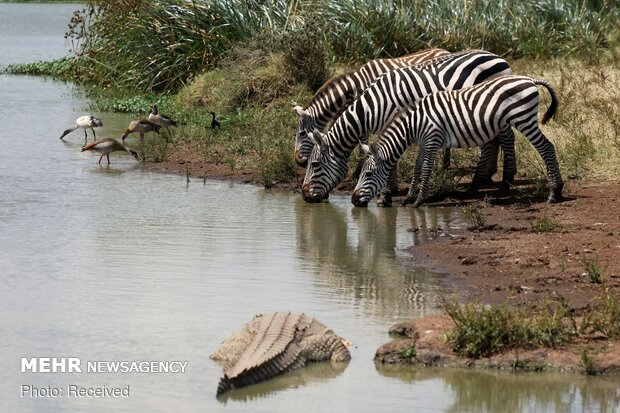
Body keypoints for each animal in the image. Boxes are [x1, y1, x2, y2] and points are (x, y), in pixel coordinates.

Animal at [294, 46, 448, 166]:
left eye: (302, 134)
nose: (298, 162)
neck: (357, 85)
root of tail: (443, 50)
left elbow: (363, 142)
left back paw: (445, 164)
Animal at [352, 74, 564, 208]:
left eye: (368, 174)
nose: (353, 201)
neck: (414, 124)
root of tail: (530, 79)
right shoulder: (424, 143)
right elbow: (417, 168)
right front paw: (408, 198)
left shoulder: (432, 139)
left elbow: (426, 169)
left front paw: (419, 200)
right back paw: (558, 190)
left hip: (524, 119)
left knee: (547, 147)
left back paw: (554, 193)